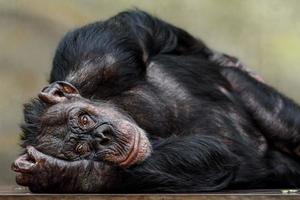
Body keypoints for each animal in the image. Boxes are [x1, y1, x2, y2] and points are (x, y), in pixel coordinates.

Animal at [12, 9, 300, 194]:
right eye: (82, 149)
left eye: (84, 119)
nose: (103, 136)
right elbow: (208, 152)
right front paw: (70, 174)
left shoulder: (94, 60)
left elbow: (137, 29)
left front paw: (222, 58)